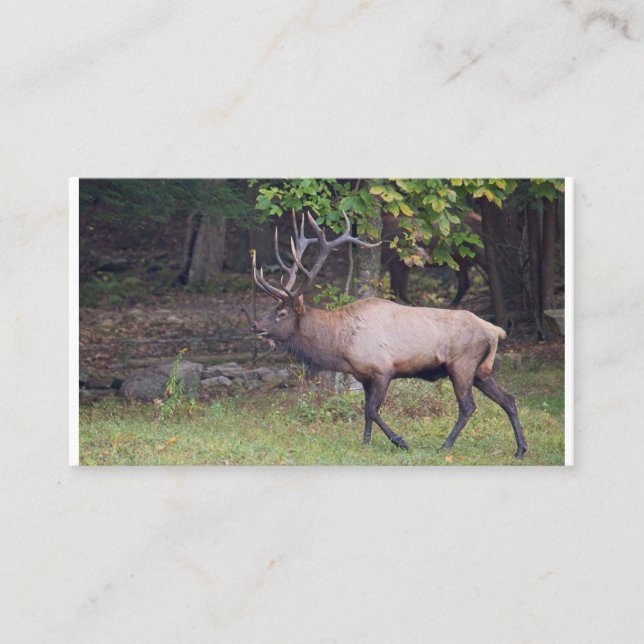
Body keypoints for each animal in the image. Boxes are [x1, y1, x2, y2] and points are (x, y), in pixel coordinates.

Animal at [251, 211, 527, 458]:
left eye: (281, 313)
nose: (254, 325)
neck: (341, 346)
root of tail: (495, 331)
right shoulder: (362, 376)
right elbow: (365, 410)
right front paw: (366, 443)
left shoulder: (383, 370)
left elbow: (373, 410)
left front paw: (400, 441)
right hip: (482, 370)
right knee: (509, 399)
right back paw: (520, 450)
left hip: (462, 364)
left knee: (468, 406)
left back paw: (445, 446)